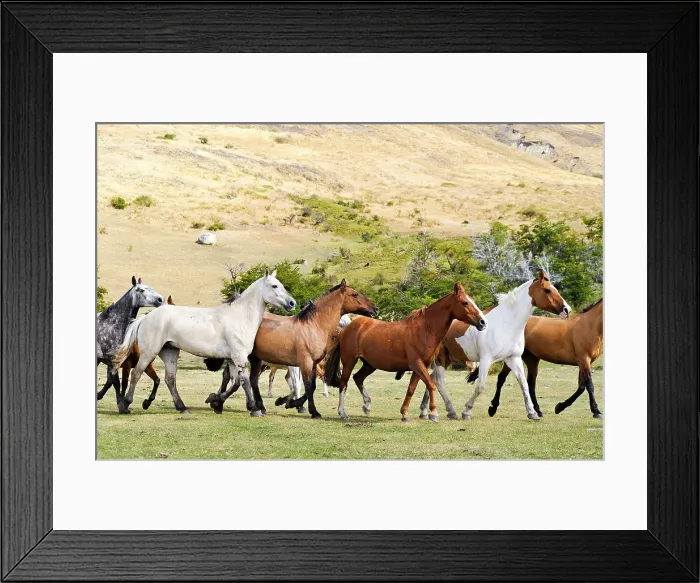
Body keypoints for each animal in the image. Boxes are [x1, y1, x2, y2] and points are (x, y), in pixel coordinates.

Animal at [96, 276, 164, 412]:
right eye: (141, 290)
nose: (160, 299)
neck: (113, 326)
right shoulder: (116, 363)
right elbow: (118, 383)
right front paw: (122, 405)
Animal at [112, 269, 295, 415]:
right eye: (274, 286)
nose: (292, 303)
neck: (240, 317)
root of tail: (146, 317)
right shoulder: (239, 357)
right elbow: (245, 382)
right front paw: (254, 408)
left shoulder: (232, 359)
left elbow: (235, 383)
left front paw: (215, 401)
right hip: (150, 353)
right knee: (136, 374)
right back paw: (125, 405)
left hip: (170, 352)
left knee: (170, 380)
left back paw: (182, 407)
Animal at [206, 280, 377, 419]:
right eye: (355, 294)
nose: (374, 309)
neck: (313, 326)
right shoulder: (304, 363)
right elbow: (307, 386)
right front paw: (311, 411)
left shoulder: (313, 364)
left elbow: (310, 386)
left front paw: (289, 402)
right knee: (237, 379)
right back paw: (222, 402)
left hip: (255, 359)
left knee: (250, 380)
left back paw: (254, 406)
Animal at [324, 283, 487, 423]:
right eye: (465, 303)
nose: (483, 322)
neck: (425, 330)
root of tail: (347, 327)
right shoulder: (417, 364)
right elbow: (431, 384)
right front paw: (434, 413)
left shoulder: (421, 367)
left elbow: (411, 389)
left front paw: (405, 414)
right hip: (349, 362)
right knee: (343, 384)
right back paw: (343, 413)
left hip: (370, 365)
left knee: (358, 378)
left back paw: (367, 405)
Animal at [414, 270, 570, 421]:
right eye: (547, 290)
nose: (567, 309)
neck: (505, 324)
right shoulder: (486, 359)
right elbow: (480, 386)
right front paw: (467, 411)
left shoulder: (513, 358)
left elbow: (523, 384)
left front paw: (532, 413)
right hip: (440, 359)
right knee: (439, 381)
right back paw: (450, 411)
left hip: (447, 359)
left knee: (432, 379)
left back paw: (424, 411)